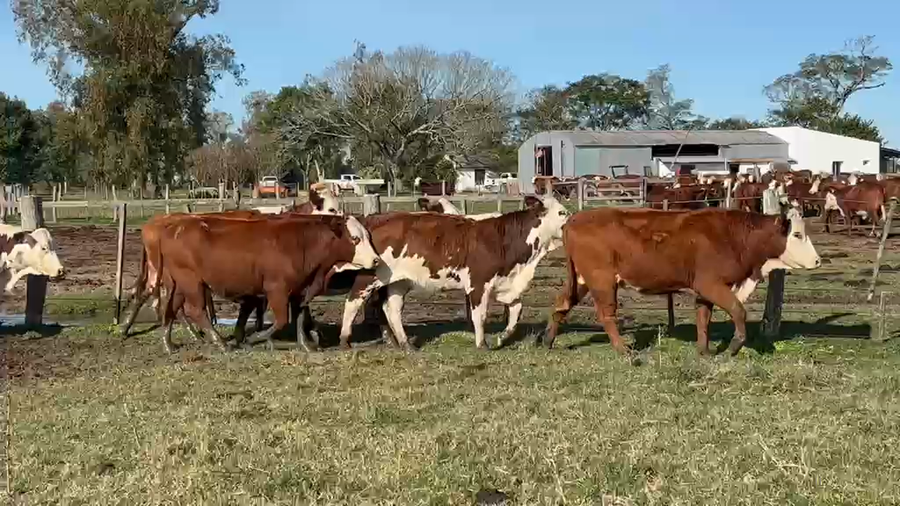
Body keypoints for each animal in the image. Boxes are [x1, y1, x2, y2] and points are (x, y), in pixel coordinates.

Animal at [155, 214, 379, 353]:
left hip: (180, 284)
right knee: (196, 311)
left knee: (171, 309)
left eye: (368, 236)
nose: (376, 260)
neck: (303, 244)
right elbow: (281, 320)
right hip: (192, 282)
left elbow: (298, 318)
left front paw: (306, 345)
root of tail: (174, 228)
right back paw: (221, 343)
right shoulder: (277, 290)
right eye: (355, 239)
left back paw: (168, 344)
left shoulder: (300, 291)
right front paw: (255, 338)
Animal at [542, 207, 821, 357]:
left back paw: (547, 341)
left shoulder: (705, 290)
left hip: (581, 280)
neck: (734, 236)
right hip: (602, 281)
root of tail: (574, 219)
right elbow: (738, 311)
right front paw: (734, 346)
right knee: (606, 315)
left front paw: (704, 351)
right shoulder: (711, 284)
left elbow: (703, 318)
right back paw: (623, 350)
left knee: (561, 305)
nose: (818, 261)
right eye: (797, 234)